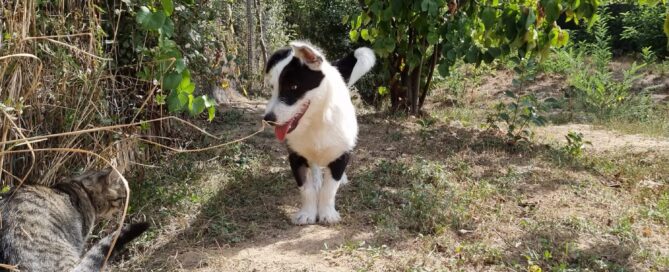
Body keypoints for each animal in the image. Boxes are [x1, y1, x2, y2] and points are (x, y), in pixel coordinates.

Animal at [262, 42, 376, 225]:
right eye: (273, 87)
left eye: (293, 87)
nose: (268, 119)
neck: (316, 121)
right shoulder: (296, 155)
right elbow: (306, 188)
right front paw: (307, 213)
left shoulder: (342, 153)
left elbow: (330, 188)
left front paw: (327, 213)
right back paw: (317, 179)